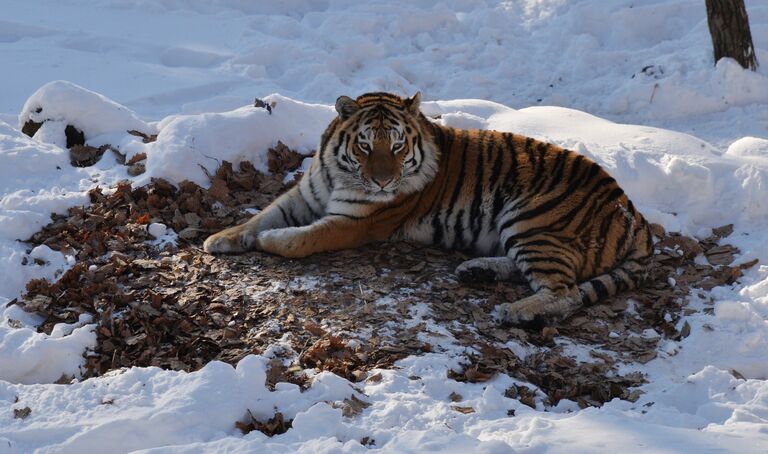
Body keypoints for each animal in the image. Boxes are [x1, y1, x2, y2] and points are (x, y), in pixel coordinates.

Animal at [204, 91, 656, 322]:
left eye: (397, 146)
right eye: (365, 145)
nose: (383, 182)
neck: (339, 173)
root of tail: (634, 214)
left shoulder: (354, 222)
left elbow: (299, 239)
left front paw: (269, 240)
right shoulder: (304, 194)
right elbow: (263, 213)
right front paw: (219, 239)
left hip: (532, 218)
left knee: (565, 292)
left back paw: (514, 311)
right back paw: (477, 271)